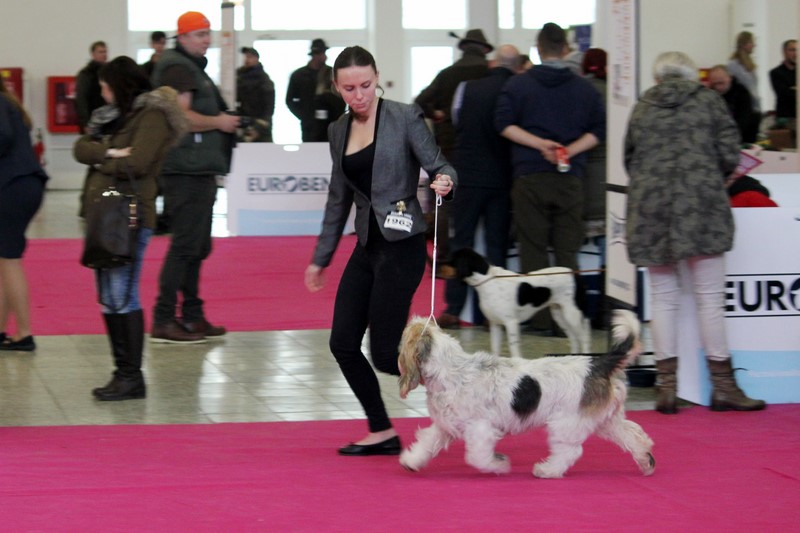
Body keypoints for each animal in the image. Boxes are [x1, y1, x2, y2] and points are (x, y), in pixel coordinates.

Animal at [397, 310, 655, 478]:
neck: (452, 369)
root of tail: (597, 364)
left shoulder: (481, 429)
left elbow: (477, 457)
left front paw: (499, 465)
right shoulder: (445, 426)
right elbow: (427, 442)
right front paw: (411, 461)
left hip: (566, 423)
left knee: (570, 451)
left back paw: (547, 470)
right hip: (606, 420)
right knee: (634, 435)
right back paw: (646, 460)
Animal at [447, 248, 591, 357]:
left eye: (452, 260)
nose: (440, 262)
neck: (488, 281)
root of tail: (576, 275)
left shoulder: (511, 323)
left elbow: (514, 349)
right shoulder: (495, 324)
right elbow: (495, 349)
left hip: (572, 314)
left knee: (583, 338)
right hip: (560, 315)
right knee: (574, 339)